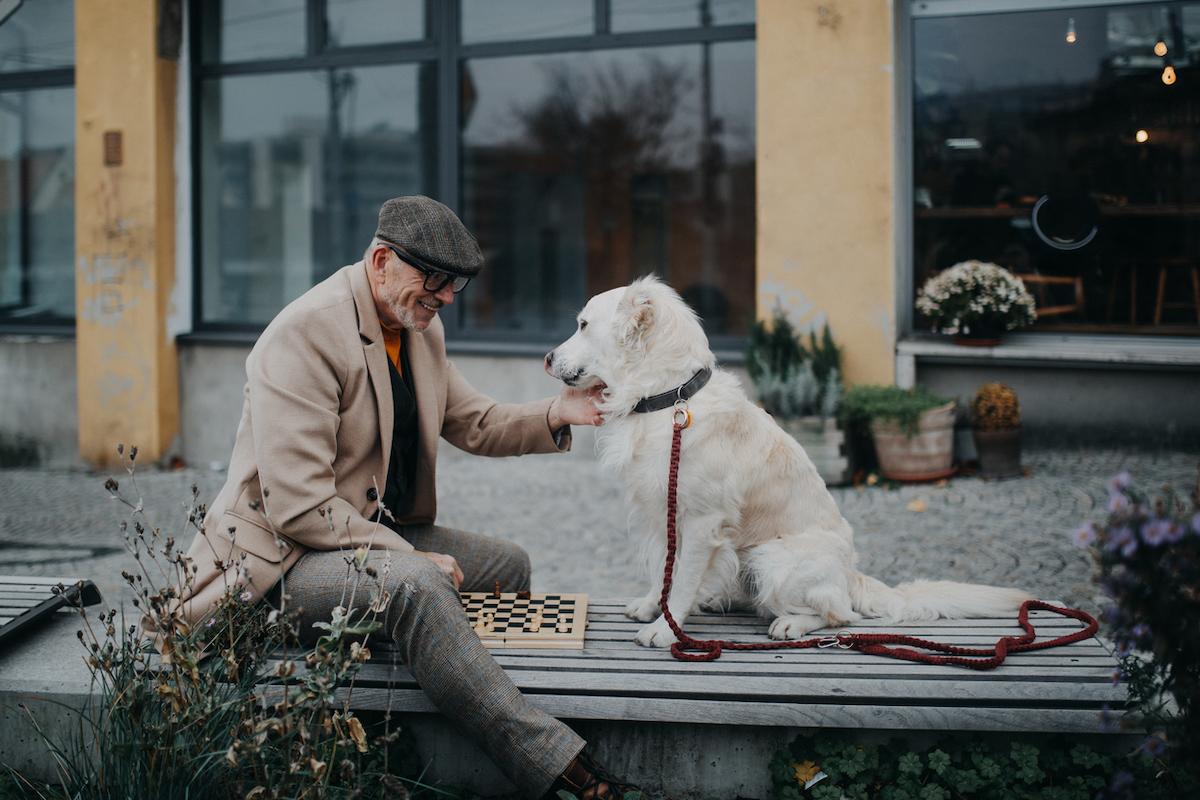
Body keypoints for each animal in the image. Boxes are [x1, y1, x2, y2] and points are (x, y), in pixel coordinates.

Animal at [549, 278, 1027, 647]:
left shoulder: (702, 521)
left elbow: (681, 581)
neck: (668, 399)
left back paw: (792, 623)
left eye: (583, 325)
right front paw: (652, 606)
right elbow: (664, 572)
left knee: (841, 614)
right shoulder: (661, 512)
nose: (549, 358)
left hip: (772, 559)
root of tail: (851, 575)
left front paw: (666, 632)